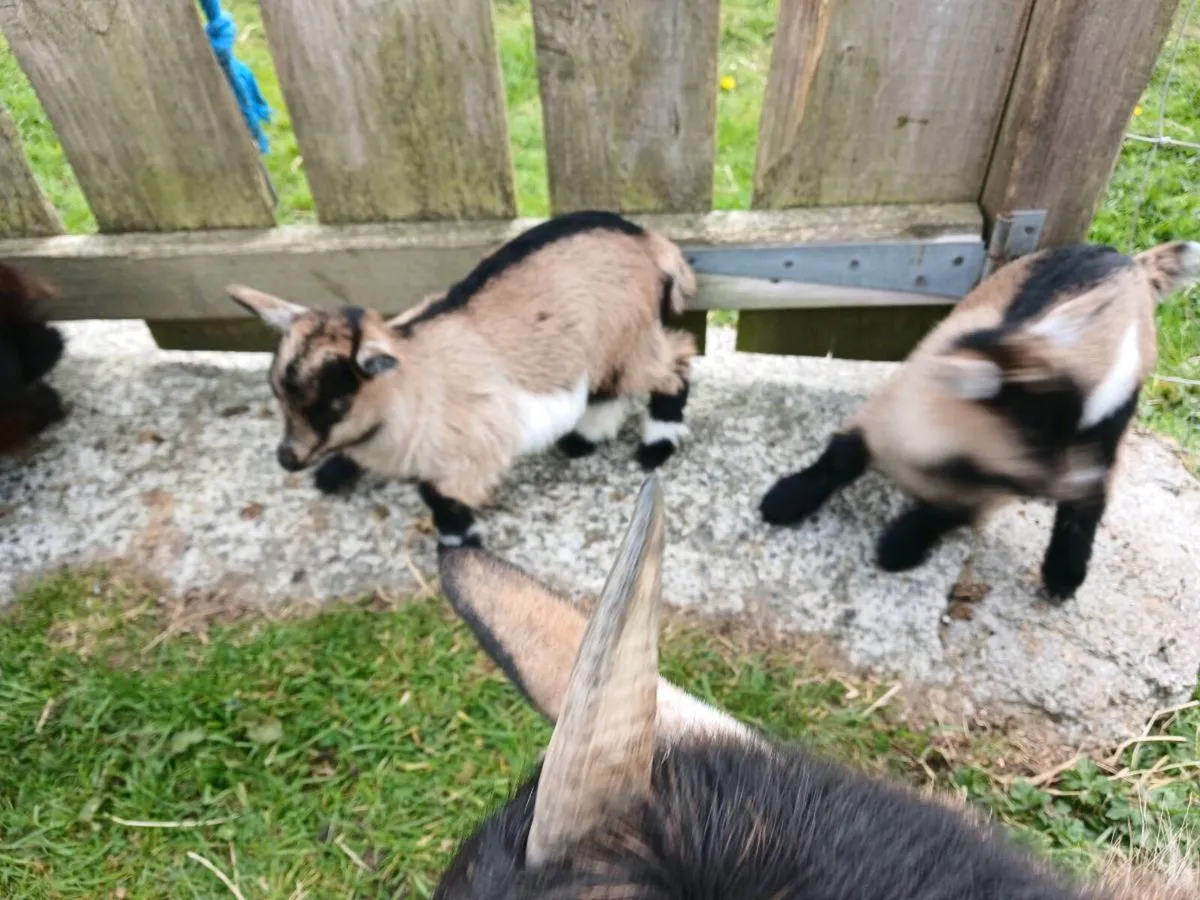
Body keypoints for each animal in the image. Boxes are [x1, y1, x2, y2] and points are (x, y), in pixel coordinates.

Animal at [227, 210, 697, 548]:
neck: (412, 381)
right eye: (277, 393)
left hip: (628, 335)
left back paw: (655, 445)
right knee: (607, 387)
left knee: (674, 365)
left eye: (335, 405)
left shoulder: (477, 446)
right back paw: (582, 439)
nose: (287, 459)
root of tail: (648, 241)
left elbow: (439, 496)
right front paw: (334, 472)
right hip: (605, 344)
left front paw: (458, 542)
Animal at [760, 240, 1200, 602]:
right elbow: (841, 458)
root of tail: (1130, 265)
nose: (1086, 481)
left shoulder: (988, 493)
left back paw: (1063, 573)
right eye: (1043, 440)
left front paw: (898, 547)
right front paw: (786, 500)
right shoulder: (883, 415)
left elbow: (942, 515)